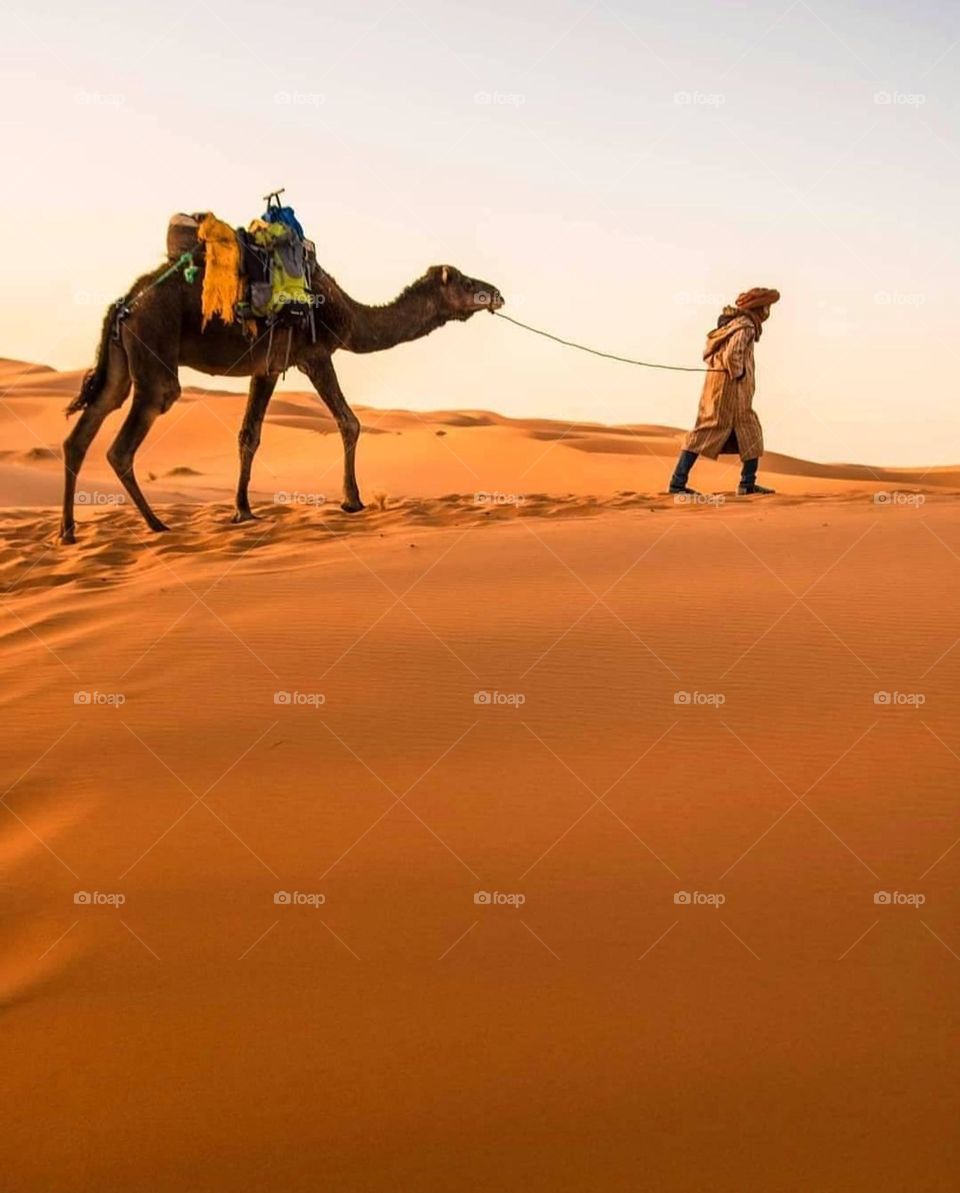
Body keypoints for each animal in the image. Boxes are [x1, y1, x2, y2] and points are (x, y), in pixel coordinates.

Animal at [60, 255, 504, 543]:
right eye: (466, 283)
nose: (496, 293)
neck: (348, 315)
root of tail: (126, 303)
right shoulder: (314, 354)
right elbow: (349, 421)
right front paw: (352, 500)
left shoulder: (267, 367)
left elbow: (249, 435)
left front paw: (242, 509)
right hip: (155, 352)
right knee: (125, 441)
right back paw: (156, 525)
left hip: (120, 364)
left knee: (84, 430)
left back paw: (68, 532)